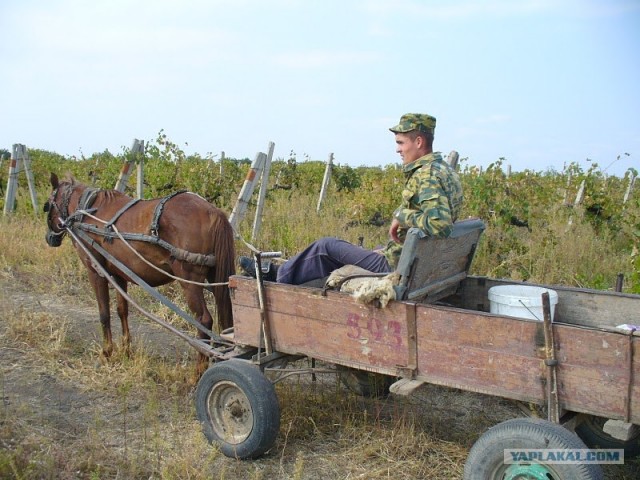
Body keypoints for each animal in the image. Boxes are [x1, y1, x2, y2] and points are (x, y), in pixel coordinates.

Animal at [44, 172, 235, 376]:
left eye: (48, 205)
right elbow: (122, 311)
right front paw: (126, 350)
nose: (49, 238)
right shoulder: (119, 274)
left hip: (190, 281)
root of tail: (214, 213)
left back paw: (198, 372)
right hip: (215, 278)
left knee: (204, 321)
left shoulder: (95, 271)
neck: (87, 213)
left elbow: (104, 313)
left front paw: (106, 352)